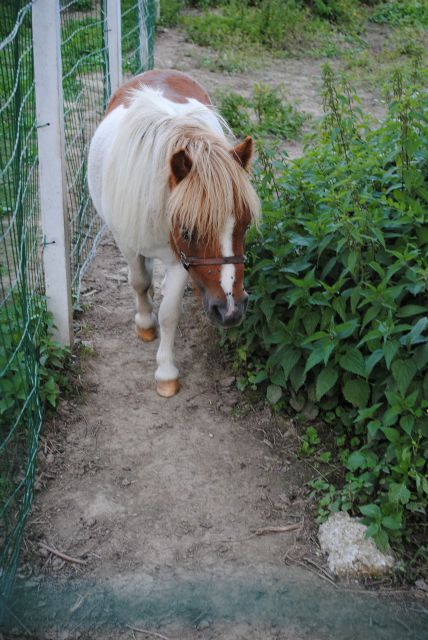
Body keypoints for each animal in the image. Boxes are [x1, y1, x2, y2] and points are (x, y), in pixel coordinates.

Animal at [87, 72, 260, 398]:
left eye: (245, 225)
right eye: (188, 231)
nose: (231, 310)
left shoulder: (180, 260)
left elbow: (170, 314)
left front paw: (166, 371)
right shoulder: (128, 244)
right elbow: (139, 282)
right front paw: (145, 323)